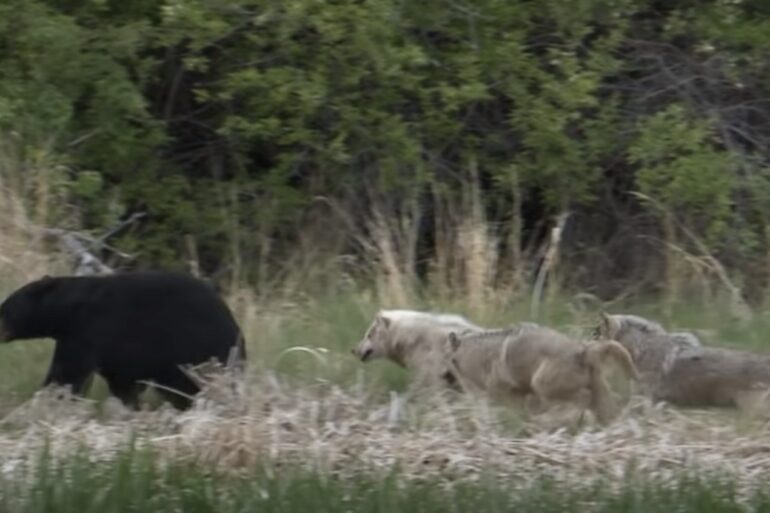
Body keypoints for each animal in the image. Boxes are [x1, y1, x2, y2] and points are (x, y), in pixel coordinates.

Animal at [0, 272, 247, 410]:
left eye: (5, 308)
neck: (67, 310)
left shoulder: (88, 331)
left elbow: (67, 374)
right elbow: (123, 382)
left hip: (198, 352)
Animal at [442, 325, 639, 425]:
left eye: (450, 359)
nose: (447, 379)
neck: (481, 354)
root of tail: (584, 351)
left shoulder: (505, 393)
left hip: (543, 384)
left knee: (583, 398)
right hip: (598, 390)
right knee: (607, 408)